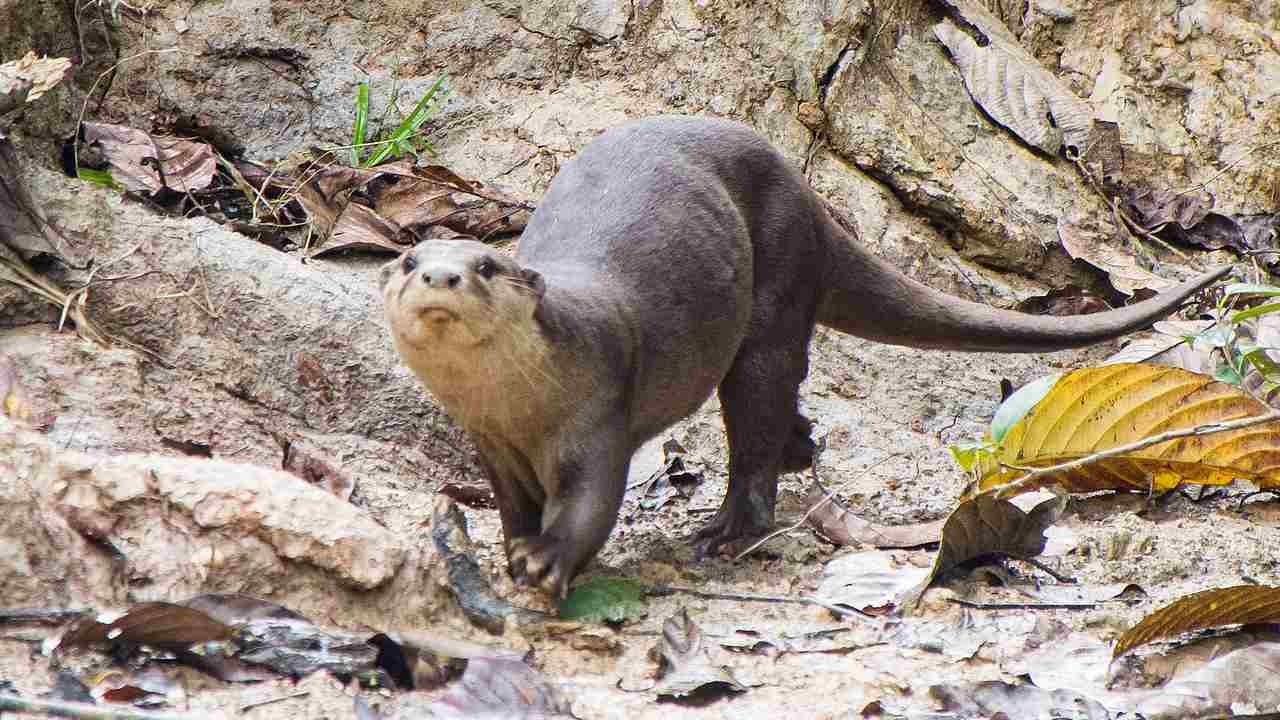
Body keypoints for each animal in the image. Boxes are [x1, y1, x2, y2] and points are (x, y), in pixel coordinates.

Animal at [381, 116, 1228, 598]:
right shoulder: (492, 444)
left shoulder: (598, 413)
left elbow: (589, 504)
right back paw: (799, 452)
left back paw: (727, 532)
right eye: (409, 259)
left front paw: (546, 562)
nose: (441, 277)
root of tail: (815, 200)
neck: (525, 410)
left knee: (756, 411)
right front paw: (510, 551)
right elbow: (511, 506)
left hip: (776, 284)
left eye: (486, 266)